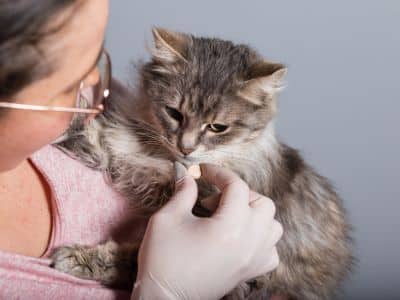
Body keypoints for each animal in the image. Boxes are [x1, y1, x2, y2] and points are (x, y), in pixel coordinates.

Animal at [50, 28, 354, 300]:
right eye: (174, 113)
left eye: (218, 127)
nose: (186, 147)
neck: (164, 159)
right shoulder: (117, 153)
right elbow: (87, 133)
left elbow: (134, 256)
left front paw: (80, 258)